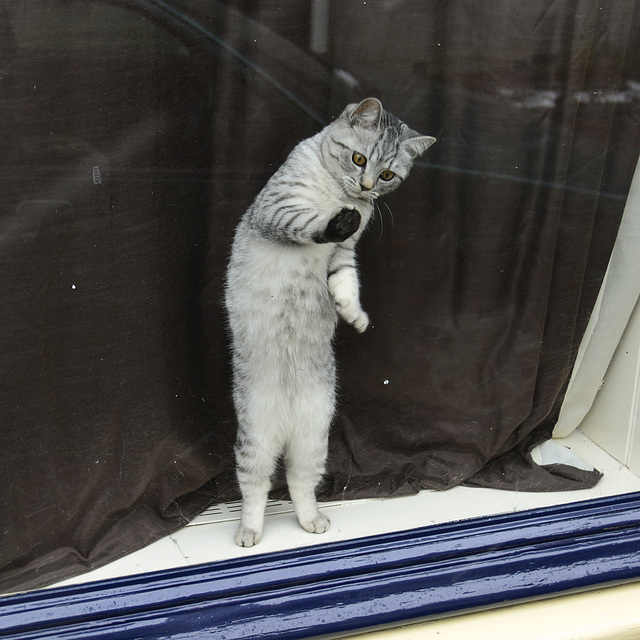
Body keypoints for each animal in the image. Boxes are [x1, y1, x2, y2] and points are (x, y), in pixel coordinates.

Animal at [224, 97, 436, 548]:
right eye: (359, 159)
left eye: (387, 174)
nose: (366, 187)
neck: (340, 194)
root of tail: (286, 424)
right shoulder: (279, 208)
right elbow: (309, 224)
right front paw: (336, 218)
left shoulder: (343, 256)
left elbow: (346, 283)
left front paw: (354, 314)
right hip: (254, 441)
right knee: (256, 487)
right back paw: (250, 531)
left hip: (313, 440)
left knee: (299, 483)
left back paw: (311, 521)